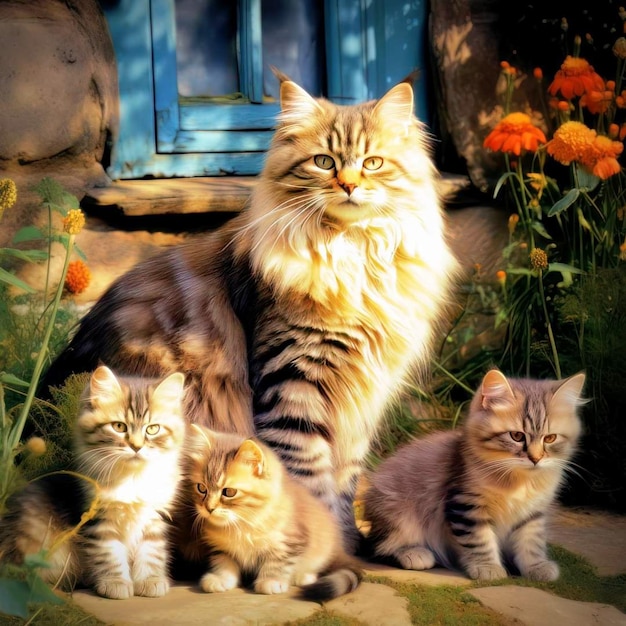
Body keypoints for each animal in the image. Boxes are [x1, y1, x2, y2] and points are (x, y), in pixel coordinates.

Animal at [0, 364, 185, 596]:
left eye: (152, 429)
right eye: (119, 427)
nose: (136, 446)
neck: (132, 477)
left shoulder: (153, 516)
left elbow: (151, 552)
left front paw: (150, 581)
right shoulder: (98, 519)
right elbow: (111, 555)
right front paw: (116, 584)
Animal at [40, 69, 458, 544]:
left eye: (372, 163)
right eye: (324, 162)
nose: (349, 185)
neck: (352, 256)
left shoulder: (360, 398)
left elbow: (345, 481)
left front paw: (349, 539)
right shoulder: (293, 379)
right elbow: (310, 478)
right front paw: (324, 545)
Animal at [171, 424, 364, 600]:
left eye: (229, 492)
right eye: (201, 488)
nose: (209, 508)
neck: (242, 523)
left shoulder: (291, 541)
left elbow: (277, 563)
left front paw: (271, 581)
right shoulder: (220, 547)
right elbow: (224, 563)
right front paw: (221, 579)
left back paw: (302, 576)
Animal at [360, 366, 584, 580]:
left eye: (550, 438)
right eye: (517, 436)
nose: (536, 458)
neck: (519, 482)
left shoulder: (532, 513)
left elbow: (531, 542)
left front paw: (536, 566)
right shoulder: (466, 505)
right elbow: (480, 541)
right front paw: (488, 567)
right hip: (398, 513)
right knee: (379, 546)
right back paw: (414, 553)